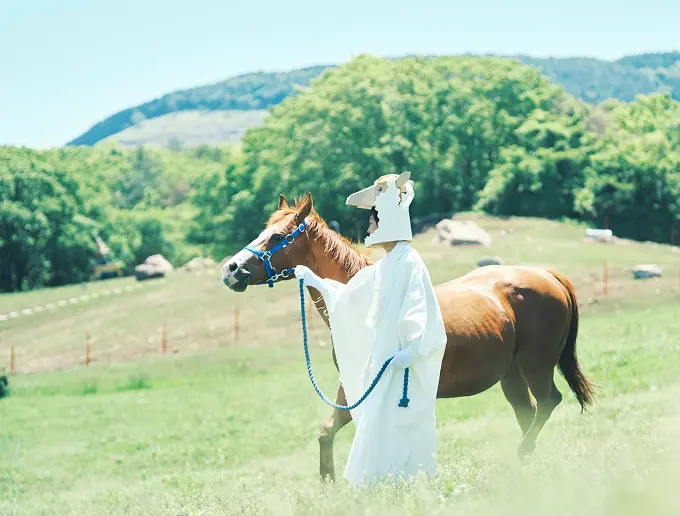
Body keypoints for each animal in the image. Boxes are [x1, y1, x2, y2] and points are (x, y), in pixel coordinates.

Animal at [221, 193, 595, 481]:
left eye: (277, 237)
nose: (231, 269)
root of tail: (547, 275)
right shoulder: (352, 385)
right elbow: (328, 431)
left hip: (535, 365)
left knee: (548, 402)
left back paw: (520, 455)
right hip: (511, 374)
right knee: (527, 411)